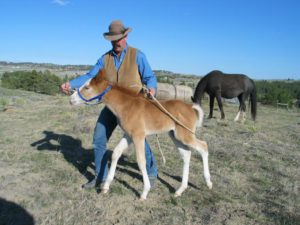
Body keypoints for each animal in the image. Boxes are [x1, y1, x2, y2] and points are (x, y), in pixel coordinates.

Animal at [69, 69, 213, 200]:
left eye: (87, 87)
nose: (71, 99)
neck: (127, 105)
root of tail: (191, 107)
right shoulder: (128, 135)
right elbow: (116, 153)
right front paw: (105, 187)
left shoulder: (138, 136)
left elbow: (141, 161)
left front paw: (144, 192)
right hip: (175, 135)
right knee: (186, 154)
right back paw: (180, 190)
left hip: (185, 135)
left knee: (204, 146)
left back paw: (208, 182)